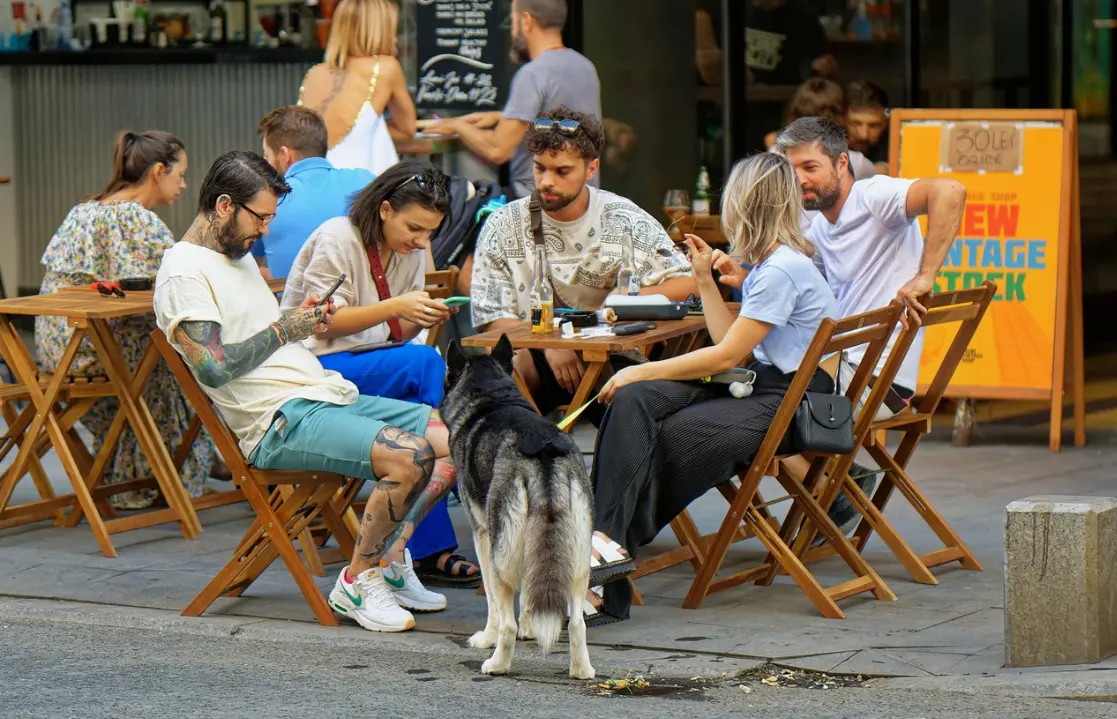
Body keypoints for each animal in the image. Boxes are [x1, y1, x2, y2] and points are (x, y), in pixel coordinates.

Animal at [440, 337, 598, 678]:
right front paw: (531, 627)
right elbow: (530, 591)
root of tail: (543, 449)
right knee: (577, 623)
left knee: (506, 624)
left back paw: (496, 663)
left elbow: (493, 605)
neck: (491, 398)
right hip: (578, 559)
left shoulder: (484, 537)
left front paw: (486, 638)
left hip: (503, 556)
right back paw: (581, 669)